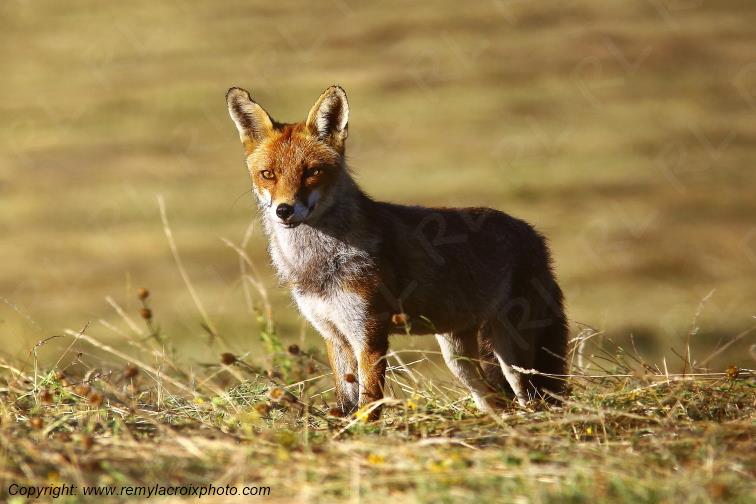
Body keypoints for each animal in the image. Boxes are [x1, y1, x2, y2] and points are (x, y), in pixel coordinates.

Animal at [225, 85, 568, 420]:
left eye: (312, 172)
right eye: (268, 174)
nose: (284, 210)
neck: (318, 263)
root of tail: (534, 235)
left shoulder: (369, 334)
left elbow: (368, 406)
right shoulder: (334, 336)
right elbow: (346, 403)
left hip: (514, 356)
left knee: (532, 398)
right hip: (458, 356)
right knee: (496, 401)